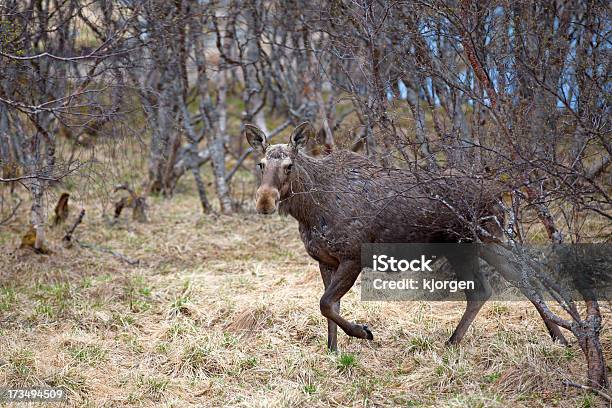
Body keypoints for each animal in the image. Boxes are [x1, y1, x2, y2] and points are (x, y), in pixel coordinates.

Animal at [243, 121, 564, 350]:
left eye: (289, 166)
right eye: (261, 164)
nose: (265, 201)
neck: (309, 211)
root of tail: (500, 194)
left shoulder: (352, 257)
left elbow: (325, 304)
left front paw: (364, 332)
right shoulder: (325, 259)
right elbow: (329, 307)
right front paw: (333, 350)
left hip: (480, 241)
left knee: (511, 281)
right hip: (471, 246)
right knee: (498, 286)